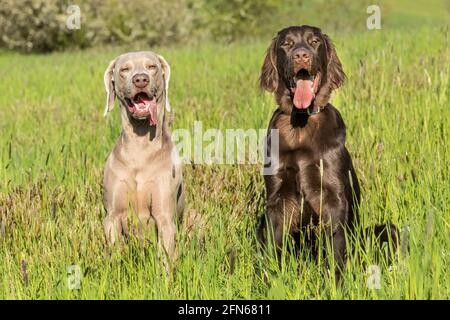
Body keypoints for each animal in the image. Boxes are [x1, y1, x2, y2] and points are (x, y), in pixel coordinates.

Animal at [103, 51, 184, 258]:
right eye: (124, 69)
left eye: (152, 67)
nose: (140, 79)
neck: (140, 149)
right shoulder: (112, 217)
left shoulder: (165, 219)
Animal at [256, 26, 398, 282]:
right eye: (286, 44)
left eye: (314, 42)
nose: (301, 55)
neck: (301, 121)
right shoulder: (278, 199)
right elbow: (273, 249)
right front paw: (269, 282)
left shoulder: (334, 197)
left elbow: (336, 251)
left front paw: (335, 284)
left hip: (385, 229)